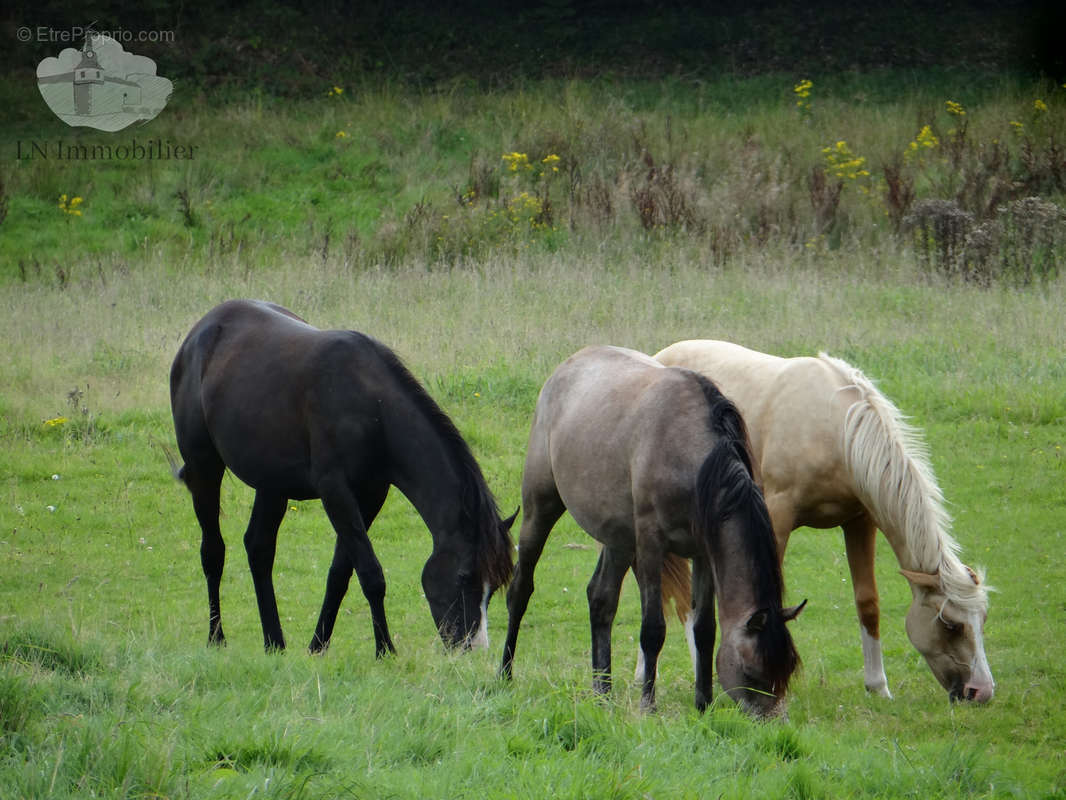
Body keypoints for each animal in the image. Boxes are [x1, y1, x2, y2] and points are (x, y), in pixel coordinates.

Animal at [168, 300, 513, 657]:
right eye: (464, 576)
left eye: (493, 587)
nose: (474, 648)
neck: (371, 408)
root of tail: (200, 332)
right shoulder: (335, 491)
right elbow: (371, 574)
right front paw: (385, 649)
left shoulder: (370, 495)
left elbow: (341, 573)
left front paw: (318, 646)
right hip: (204, 468)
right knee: (213, 551)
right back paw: (216, 637)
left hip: (272, 486)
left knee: (259, 548)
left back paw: (274, 642)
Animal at [496, 347, 801, 716]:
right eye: (752, 671)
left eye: (784, 671)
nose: (770, 721)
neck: (692, 458)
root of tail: (566, 367)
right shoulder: (652, 544)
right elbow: (653, 629)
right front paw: (647, 704)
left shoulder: (702, 551)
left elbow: (704, 630)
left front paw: (702, 703)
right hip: (541, 507)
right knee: (520, 590)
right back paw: (505, 673)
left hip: (618, 537)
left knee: (601, 599)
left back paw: (602, 691)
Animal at [652, 341, 993, 704]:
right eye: (951, 625)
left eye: (983, 620)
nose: (982, 692)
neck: (837, 430)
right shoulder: (777, 515)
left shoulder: (860, 521)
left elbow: (867, 602)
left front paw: (878, 687)